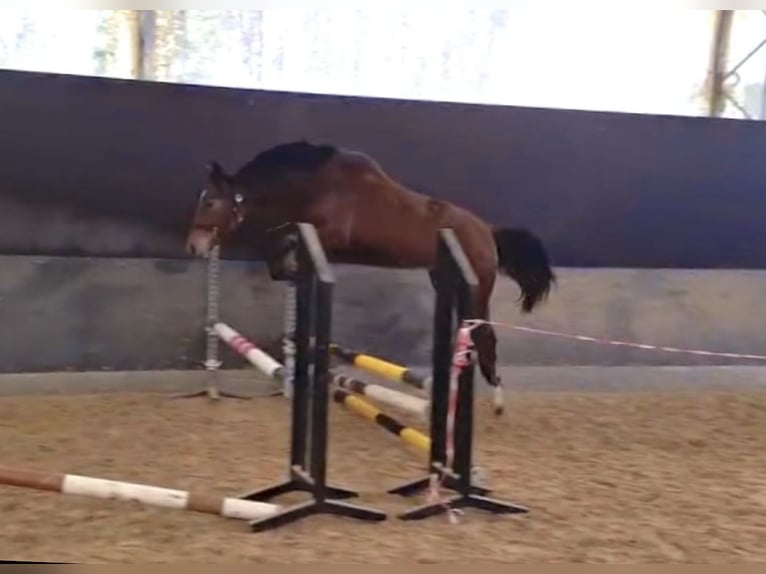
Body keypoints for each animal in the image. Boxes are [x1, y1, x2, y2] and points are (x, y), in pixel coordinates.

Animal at [185, 140, 556, 415]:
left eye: (211, 202)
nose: (193, 246)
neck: (317, 186)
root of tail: (488, 231)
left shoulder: (330, 236)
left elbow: (283, 248)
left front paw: (292, 270)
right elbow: (279, 255)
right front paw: (292, 275)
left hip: (476, 290)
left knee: (485, 338)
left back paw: (497, 402)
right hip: (446, 281)